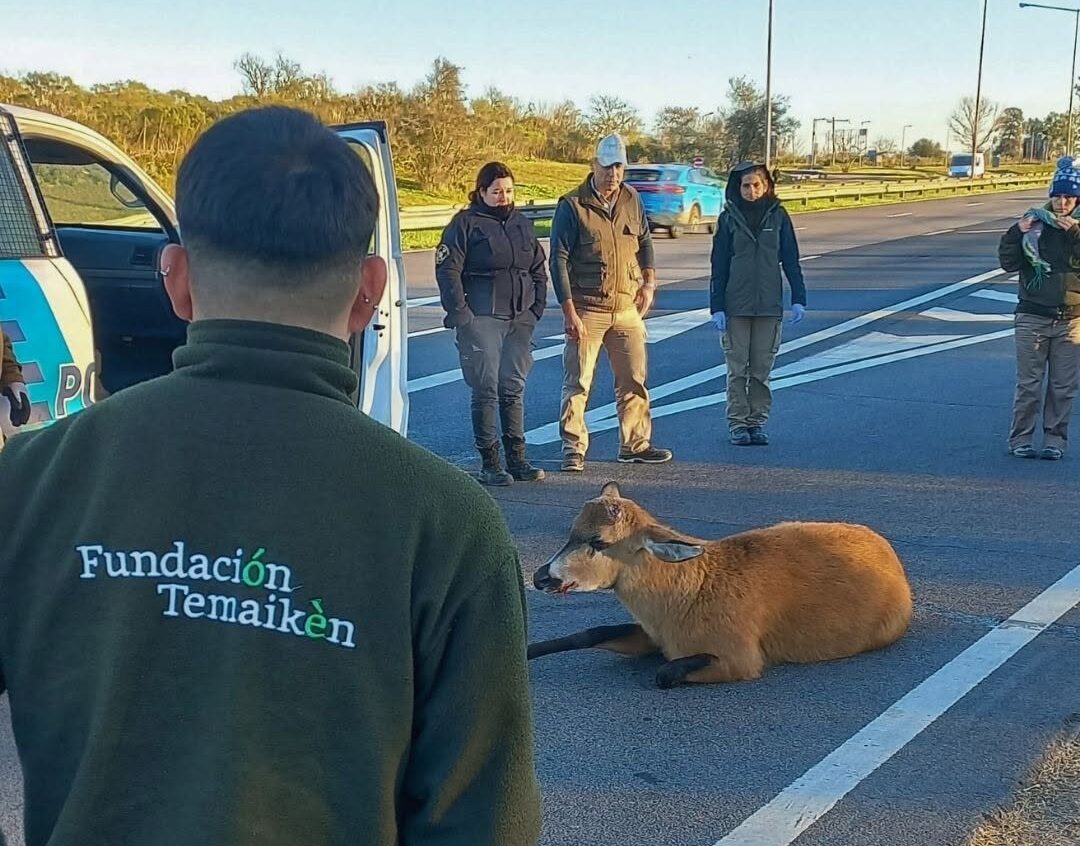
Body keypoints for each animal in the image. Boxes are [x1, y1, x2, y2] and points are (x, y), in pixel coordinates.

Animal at [529, 482, 913, 688]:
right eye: (571, 533)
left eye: (599, 541)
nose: (540, 577)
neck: (687, 595)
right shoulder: (654, 635)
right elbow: (591, 633)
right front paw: (529, 650)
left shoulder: (742, 658)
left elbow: (664, 673)